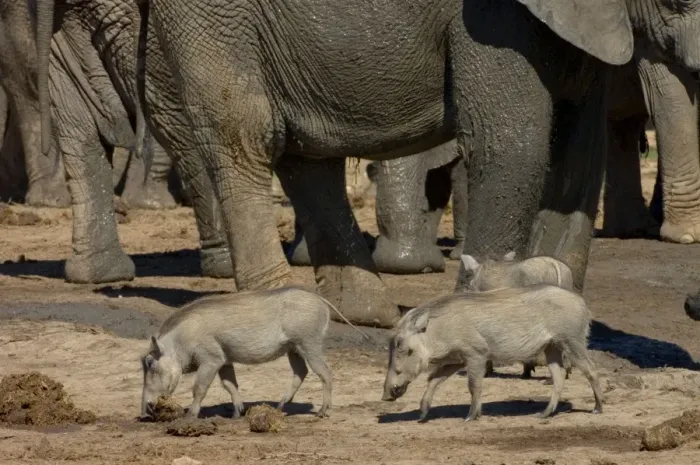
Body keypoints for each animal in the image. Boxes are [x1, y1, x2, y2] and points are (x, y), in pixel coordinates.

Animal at [36, 0, 700, 328]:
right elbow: (509, 141)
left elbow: (576, 152)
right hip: (216, 18)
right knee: (244, 128)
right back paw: (277, 301)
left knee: (306, 151)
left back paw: (361, 313)